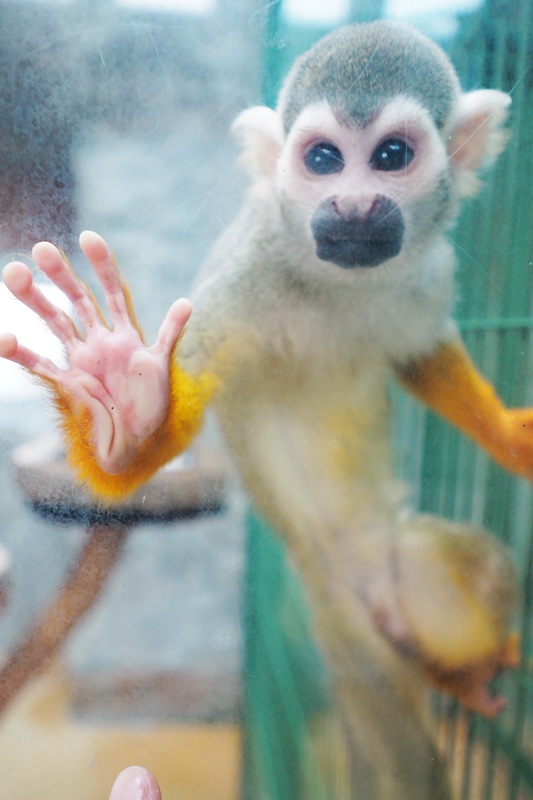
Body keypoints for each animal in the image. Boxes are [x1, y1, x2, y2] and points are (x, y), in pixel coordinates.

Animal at [0, 21, 524, 796]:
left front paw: (509, 436)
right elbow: (170, 412)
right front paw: (124, 412)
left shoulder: (431, 269)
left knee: (475, 567)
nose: (353, 207)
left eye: (391, 156)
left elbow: (421, 354)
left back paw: (459, 673)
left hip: (401, 569)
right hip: (343, 626)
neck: (333, 278)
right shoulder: (244, 273)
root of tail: (364, 596)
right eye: (324, 159)